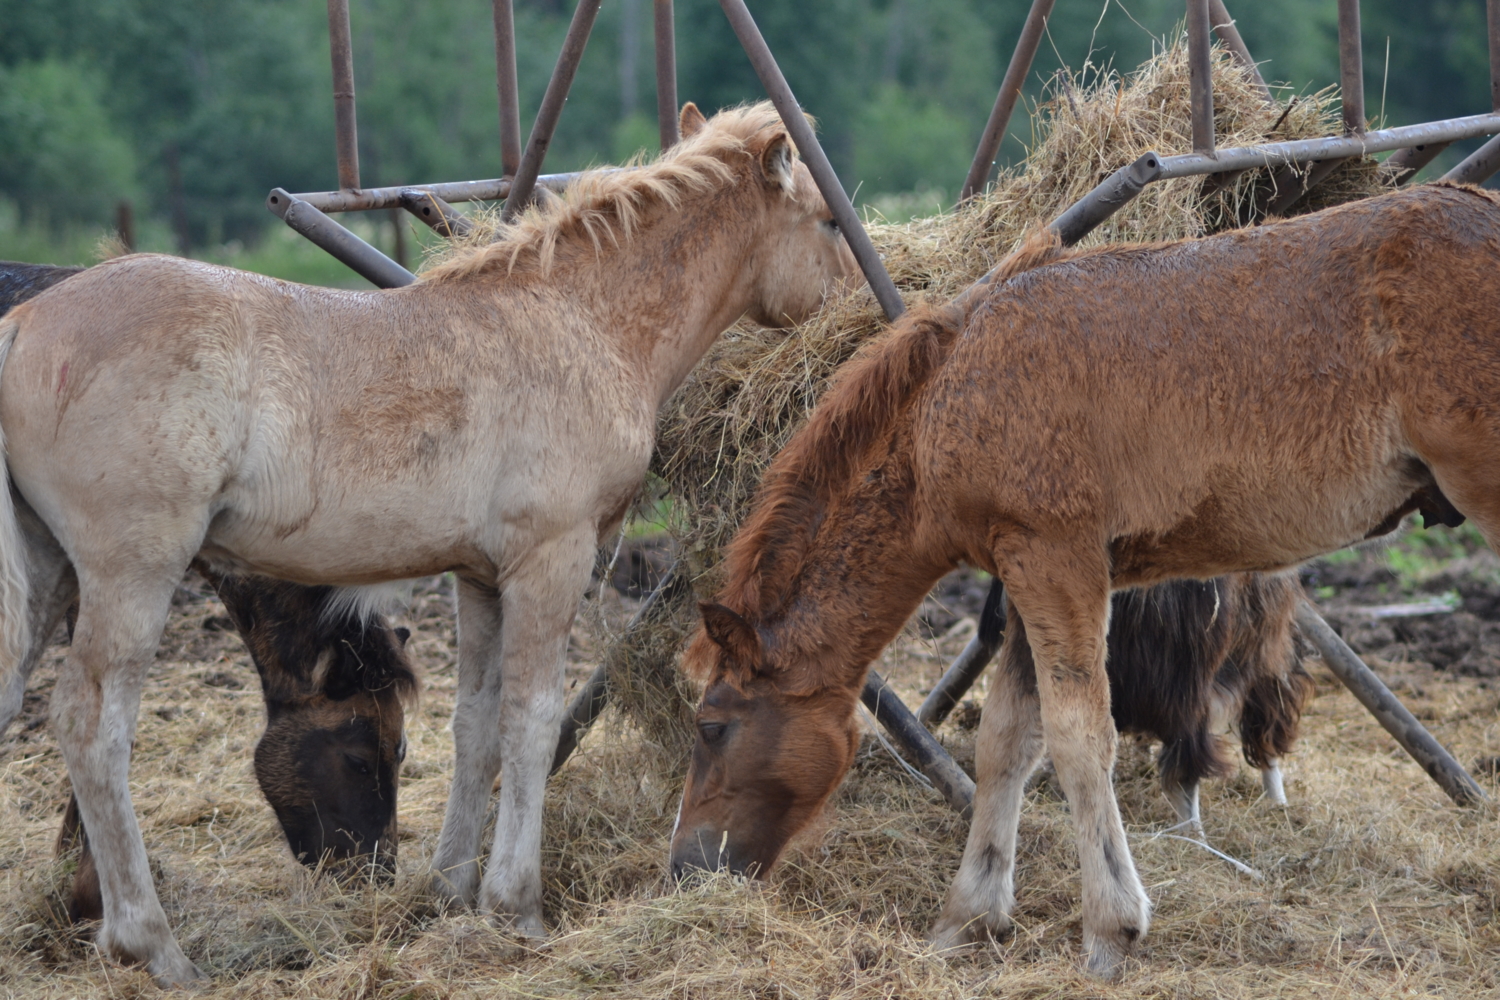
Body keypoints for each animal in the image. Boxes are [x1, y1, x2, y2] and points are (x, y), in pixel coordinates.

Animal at [672, 182, 1500, 977]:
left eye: (712, 727)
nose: (685, 868)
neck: (951, 395)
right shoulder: (1023, 575)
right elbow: (1007, 739)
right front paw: (969, 918)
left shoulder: (1057, 558)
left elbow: (1076, 739)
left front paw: (1109, 929)